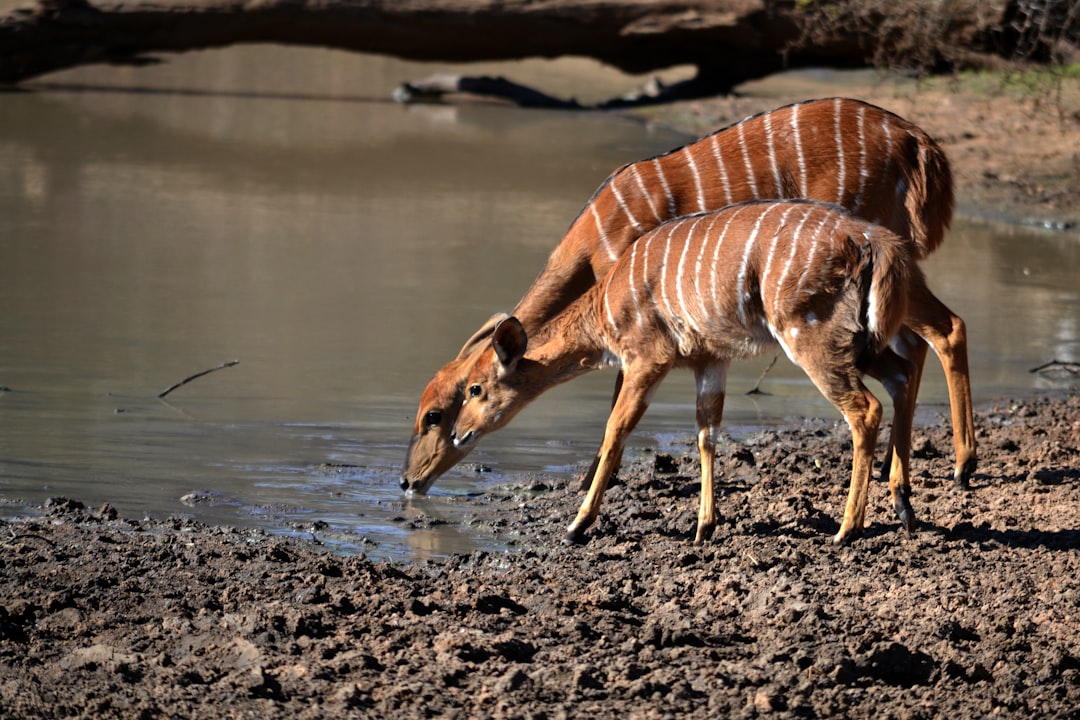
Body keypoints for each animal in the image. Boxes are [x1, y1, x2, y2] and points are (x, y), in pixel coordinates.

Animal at [401, 95, 976, 500]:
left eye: (436, 413)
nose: (408, 481)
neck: (596, 238)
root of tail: (921, 143)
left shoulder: (639, 318)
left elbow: (619, 399)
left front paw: (590, 483)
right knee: (921, 342)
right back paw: (904, 479)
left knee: (943, 330)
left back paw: (962, 465)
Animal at [447, 199, 920, 544]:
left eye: (475, 389)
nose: (457, 434)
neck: (606, 305)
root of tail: (873, 240)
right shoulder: (709, 360)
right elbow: (706, 433)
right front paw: (703, 527)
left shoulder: (647, 357)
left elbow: (616, 429)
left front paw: (576, 525)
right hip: (860, 341)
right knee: (903, 373)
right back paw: (904, 507)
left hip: (813, 337)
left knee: (866, 409)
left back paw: (846, 530)